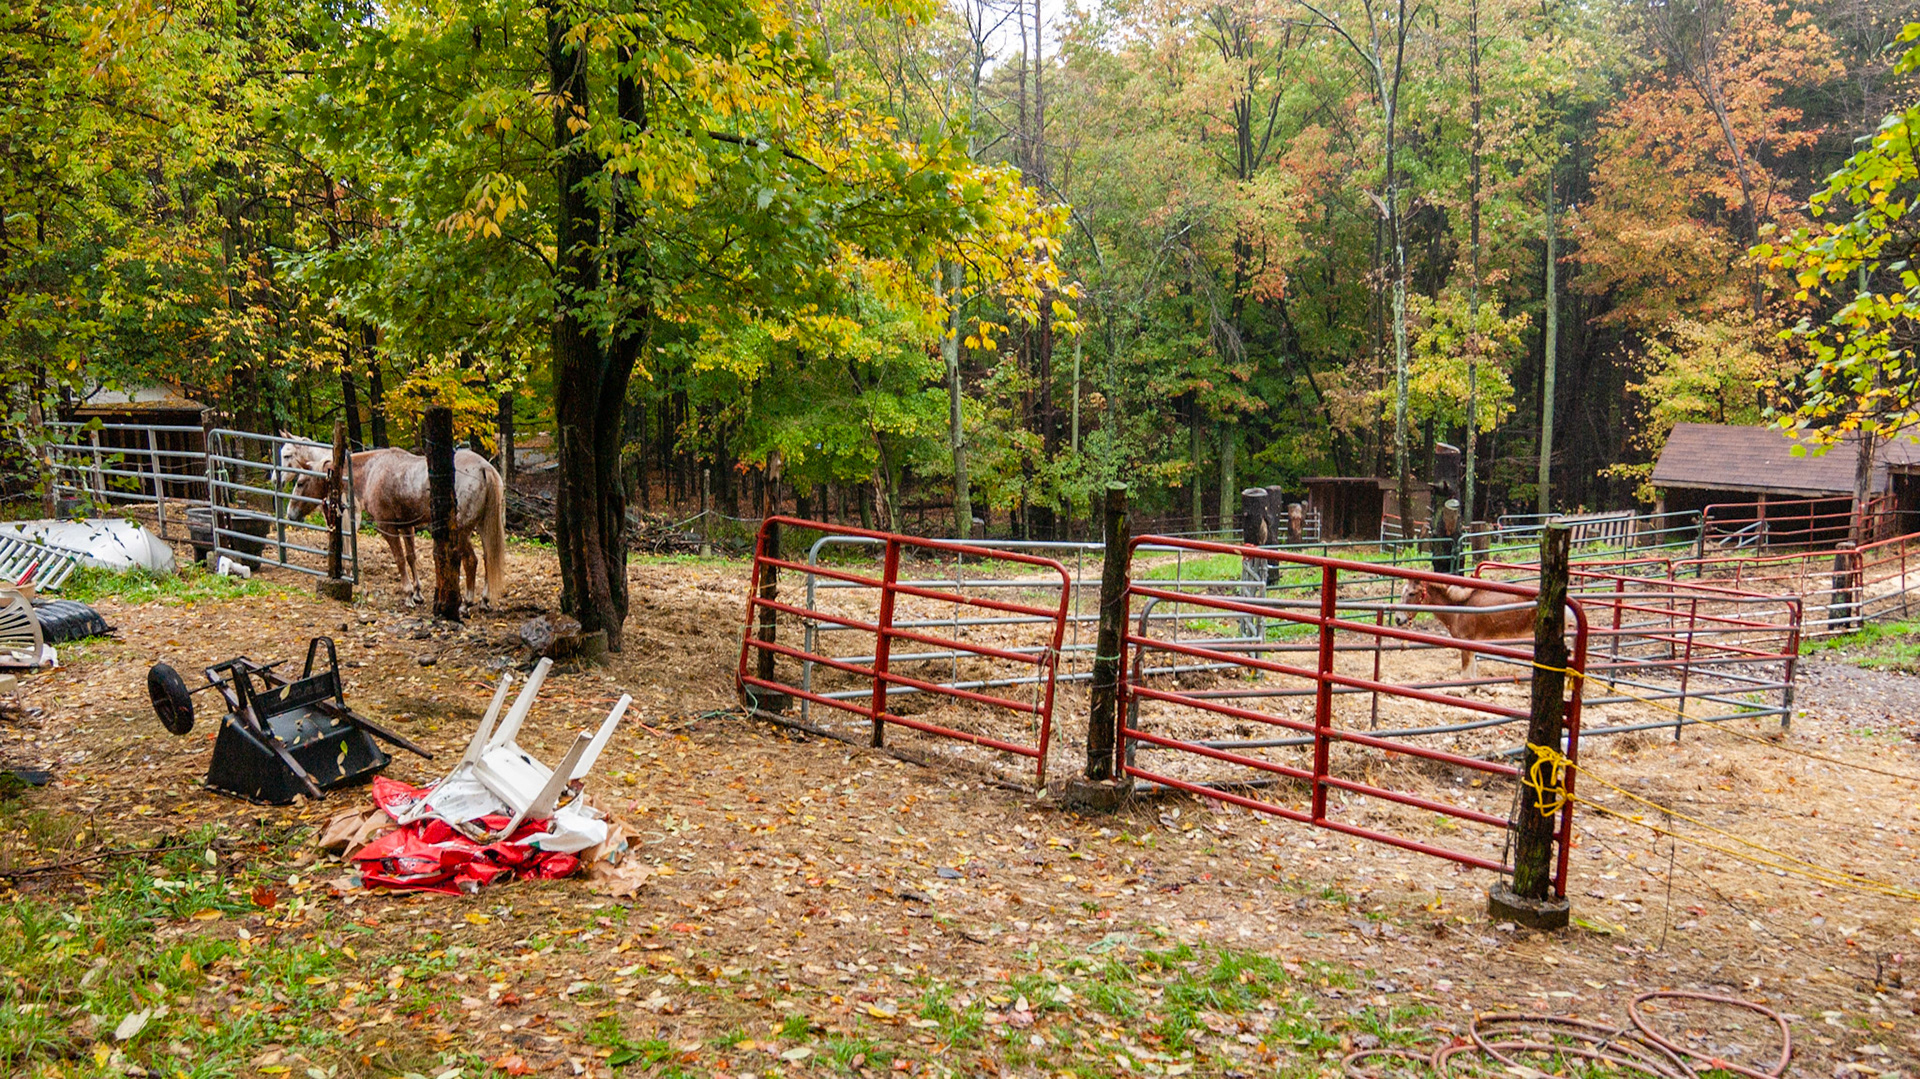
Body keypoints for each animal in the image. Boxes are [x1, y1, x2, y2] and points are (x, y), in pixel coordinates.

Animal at [279, 439, 507, 608]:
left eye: (301, 483)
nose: (290, 513)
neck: (371, 471)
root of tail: (484, 468)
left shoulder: (388, 528)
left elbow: (399, 559)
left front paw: (408, 595)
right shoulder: (407, 525)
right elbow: (411, 557)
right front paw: (417, 593)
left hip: (461, 532)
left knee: (471, 561)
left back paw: (467, 603)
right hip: (483, 527)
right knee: (487, 557)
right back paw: (485, 599)